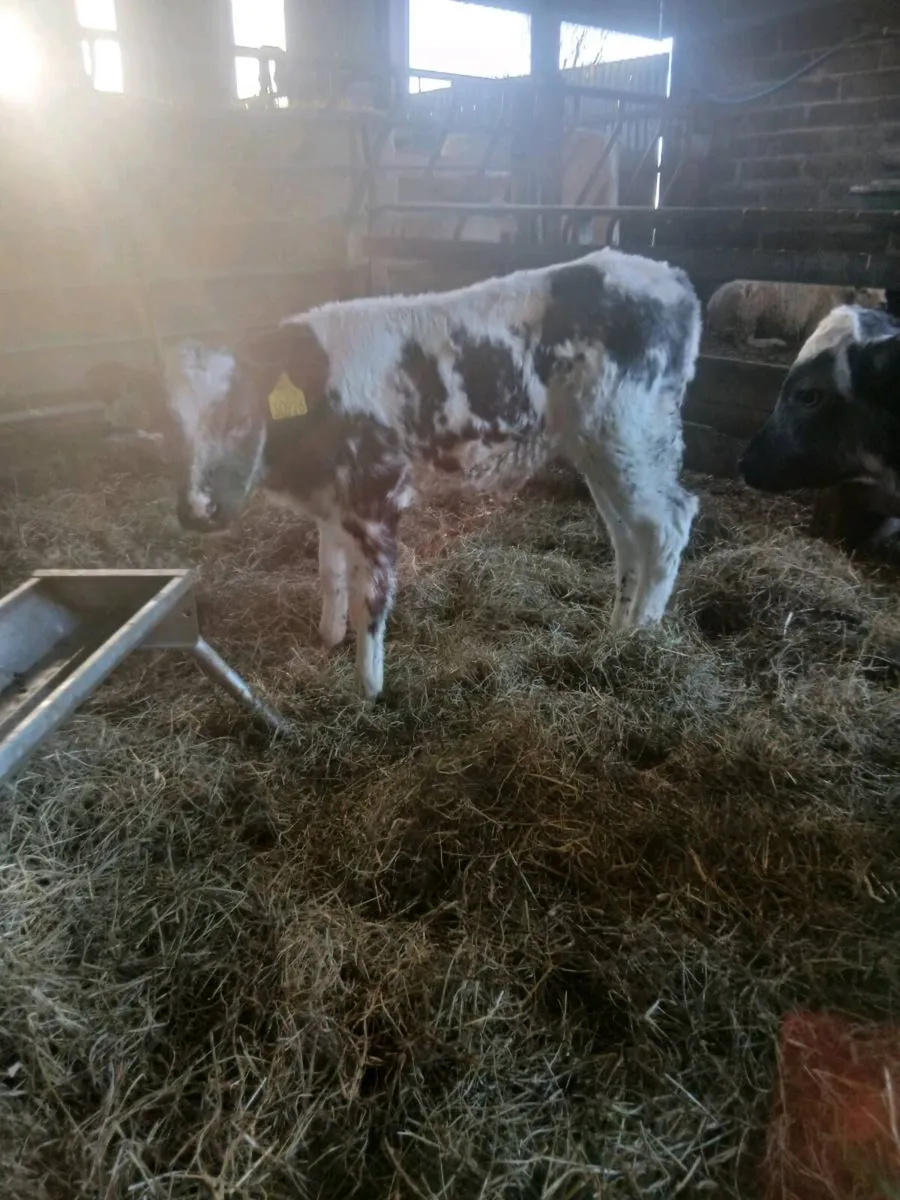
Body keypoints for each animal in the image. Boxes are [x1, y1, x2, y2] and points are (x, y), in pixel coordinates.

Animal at [160, 249, 701, 699]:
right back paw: (619, 630)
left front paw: (368, 689)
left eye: (239, 416)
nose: (197, 511)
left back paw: (643, 638)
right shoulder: (333, 500)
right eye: (170, 428)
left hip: (632, 435)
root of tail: (669, 276)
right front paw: (328, 637)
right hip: (599, 448)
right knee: (627, 535)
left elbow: (371, 598)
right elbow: (329, 571)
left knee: (669, 522)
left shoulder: (375, 496)